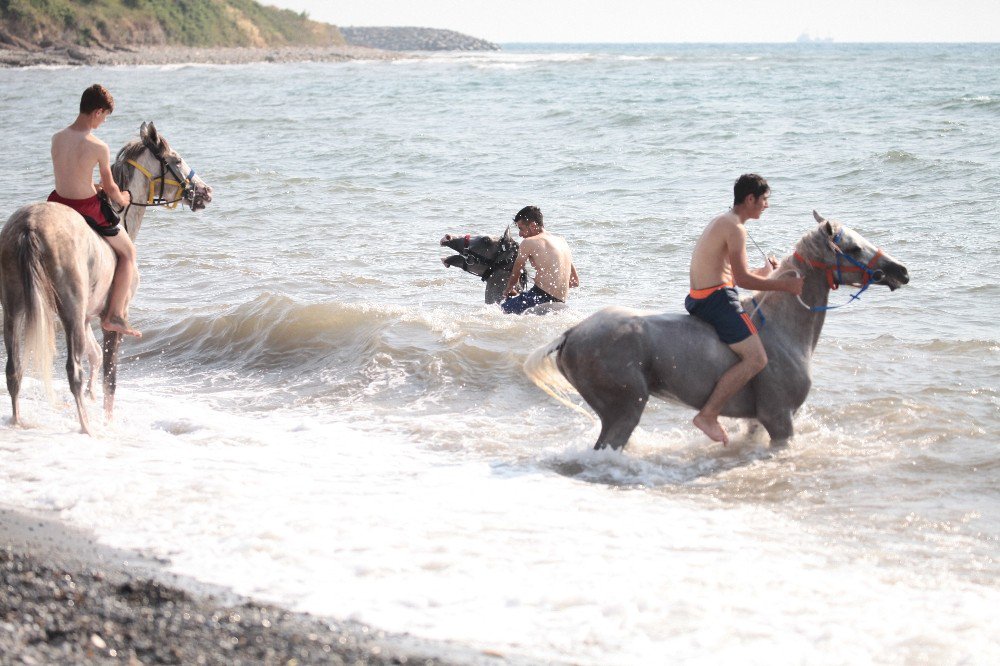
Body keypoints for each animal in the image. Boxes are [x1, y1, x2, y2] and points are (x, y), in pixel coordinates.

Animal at [1, 120, 213, 434]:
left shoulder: (88, 318)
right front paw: (108, 420)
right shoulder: (108, 319)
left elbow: (96, 357)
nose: (205, 191)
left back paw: (18, 422)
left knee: (14, 369)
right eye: (175, 160)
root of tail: (30, 226)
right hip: (71, 311)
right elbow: (109, 378)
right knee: (72, 370)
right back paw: (87, 427)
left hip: (13, 309)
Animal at [528, 214, 912, 452]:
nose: (901, 271)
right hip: (625, 408)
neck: (783, 330)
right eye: (853, 248)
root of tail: (572, 332)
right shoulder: (779, 418)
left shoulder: (758, 422)